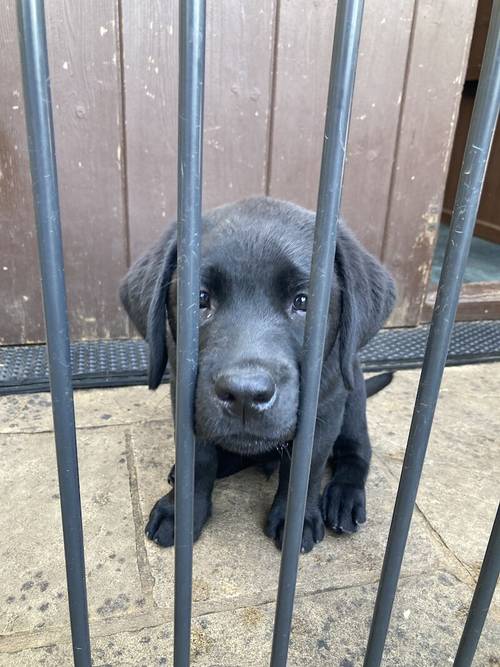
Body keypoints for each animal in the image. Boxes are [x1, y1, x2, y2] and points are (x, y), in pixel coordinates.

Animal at [120, 197, 394, 552]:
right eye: (200, 299)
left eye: (304, 302)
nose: (245, 395)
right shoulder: (185, 398)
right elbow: (199, 460)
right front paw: (180, 511)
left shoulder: (326, 410)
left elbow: (306, 469)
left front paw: (296, 522)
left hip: (354, 397)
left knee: (356, 452)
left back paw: (344, 496)